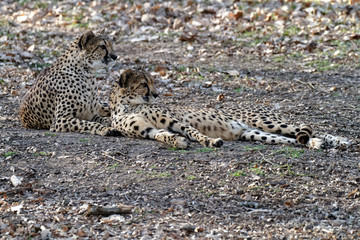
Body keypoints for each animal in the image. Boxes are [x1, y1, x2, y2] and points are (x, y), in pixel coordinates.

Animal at [110, 68, 352, 149]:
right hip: (254, 133)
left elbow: (193, 132)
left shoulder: (176, 121)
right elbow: (162, 135)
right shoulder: (148, 130)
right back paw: (315, 143)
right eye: (144, 84)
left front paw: (210, 141)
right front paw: (177, 141)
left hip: (265, 121)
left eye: (152, 82)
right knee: (293, 139)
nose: (156, 94)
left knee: (308, 127)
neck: (126, 105)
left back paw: (339, 141)